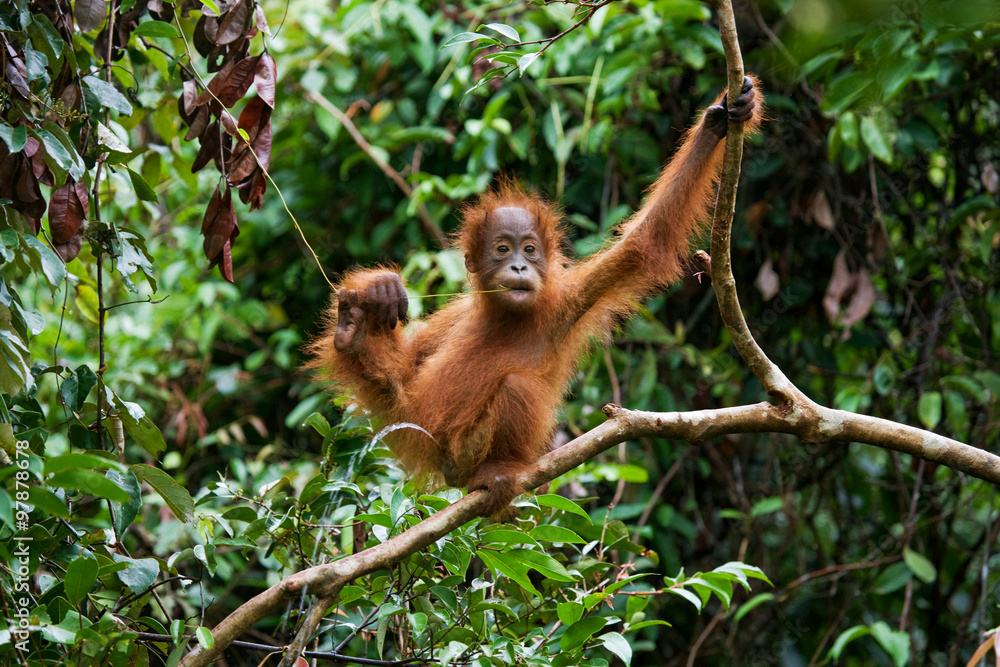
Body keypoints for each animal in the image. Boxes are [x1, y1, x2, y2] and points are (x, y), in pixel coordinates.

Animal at [308, 76, 762, 516]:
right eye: (502, 249)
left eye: (529, 249)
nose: (519, 268)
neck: (509, 315)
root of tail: (447, 465)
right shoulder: (456, 314)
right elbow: (410, 364)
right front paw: (380, 288)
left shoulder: (568, 301)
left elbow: (644, 243)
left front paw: (719, 121)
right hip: (424, 431)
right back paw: (352, 332)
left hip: (466, 451)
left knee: (517, 386)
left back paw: (497, 471)